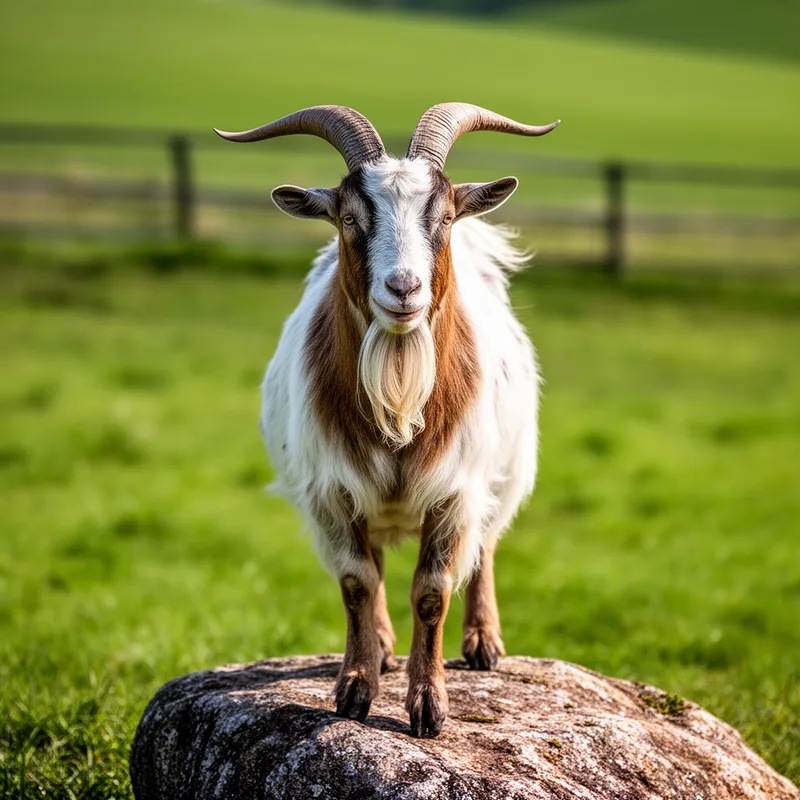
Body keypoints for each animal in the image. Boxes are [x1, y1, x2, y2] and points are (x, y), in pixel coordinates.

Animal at [215, 104, 559, 738]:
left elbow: (432, 591)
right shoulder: (331, 489)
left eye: (443, 217)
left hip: (507, 470)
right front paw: (355, 689)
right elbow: (357, 582)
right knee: (372, 566)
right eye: (349, 217)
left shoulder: (456, 490)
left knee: (486, 546)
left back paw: (483, 642)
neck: (400, 393)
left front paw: (428, 704)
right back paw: (377, 647)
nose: (404, 287)